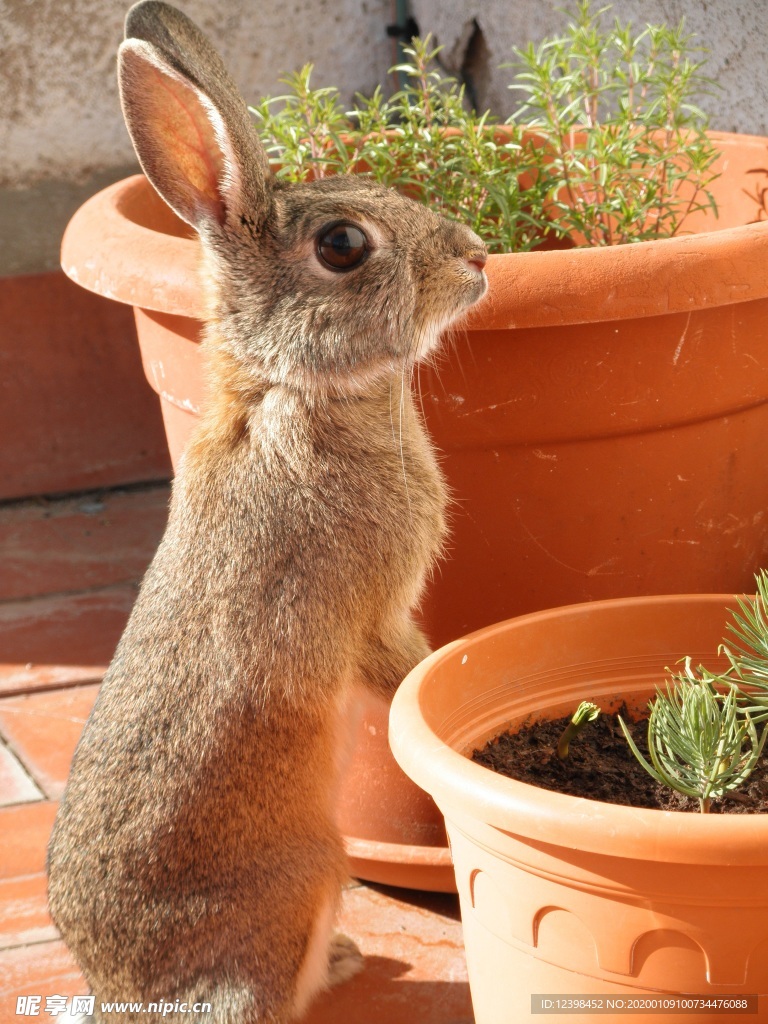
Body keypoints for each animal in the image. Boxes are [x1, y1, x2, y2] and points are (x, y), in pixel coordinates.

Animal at [46, 2, 487, 1024]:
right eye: (343, 246)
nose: (477, 257)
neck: (296, 389)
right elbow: (405, 670)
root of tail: (122, 993)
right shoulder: (370, 612)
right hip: (300, 886)